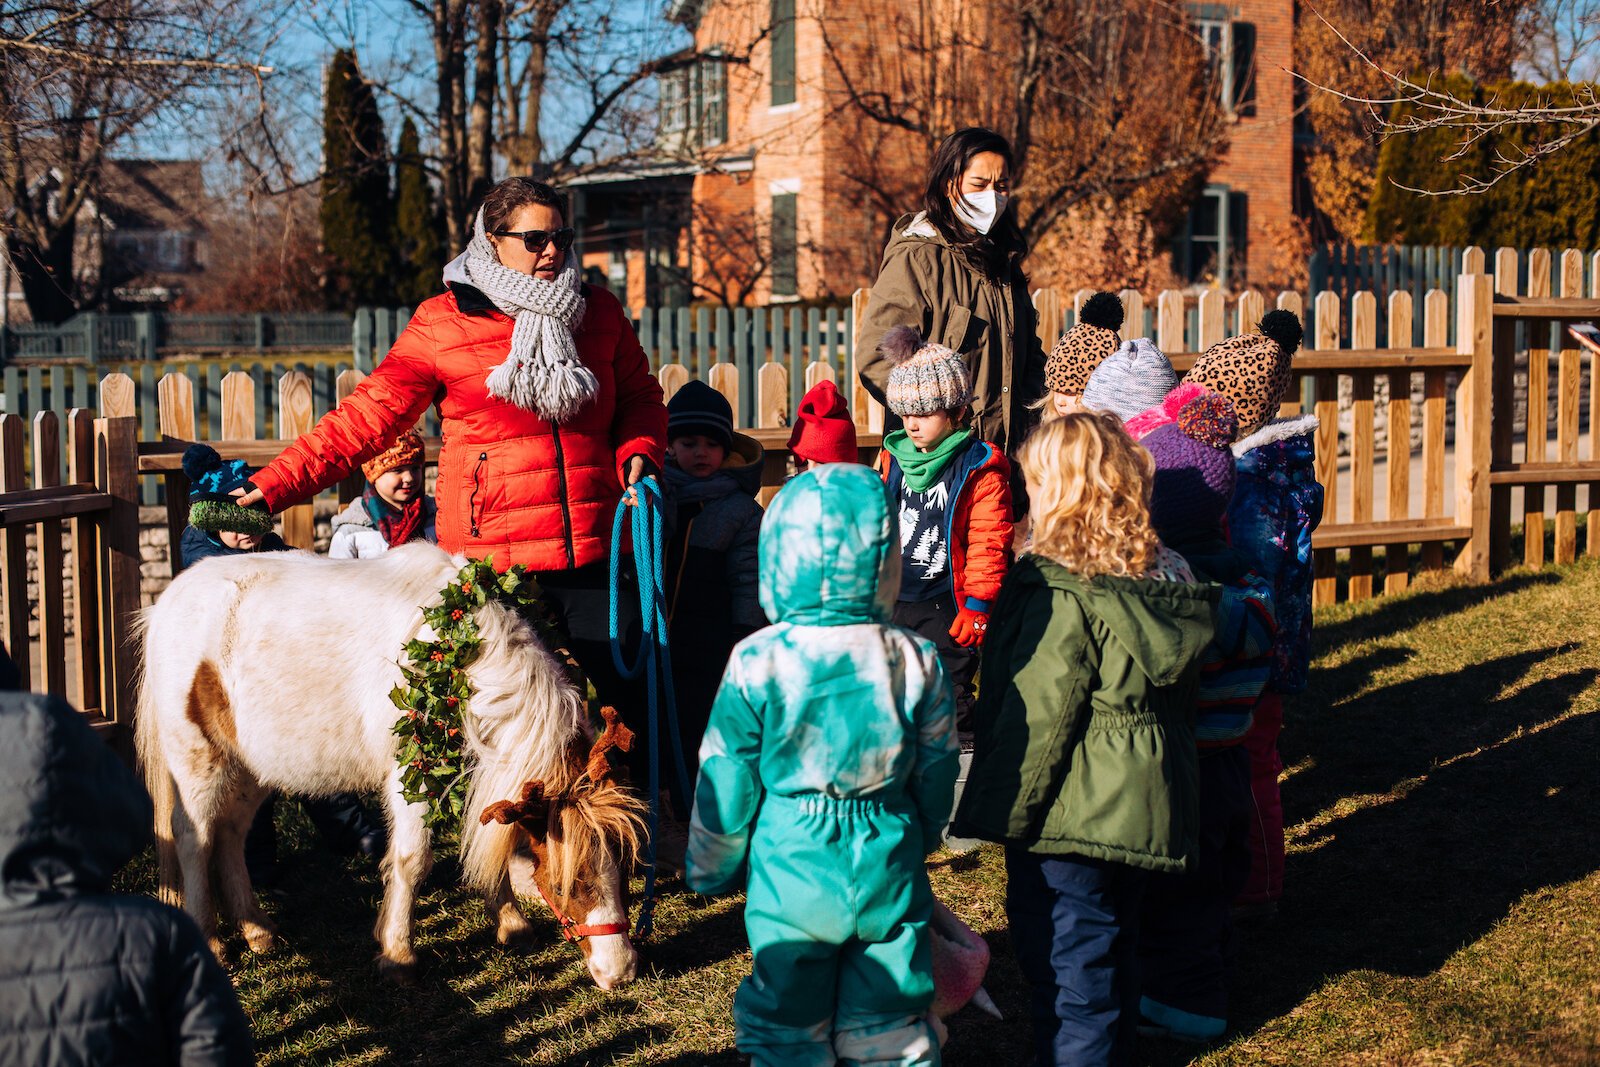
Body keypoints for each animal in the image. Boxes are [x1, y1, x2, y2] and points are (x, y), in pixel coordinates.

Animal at [132, 547, 643, 991]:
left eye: (624, 864)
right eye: (563, 882)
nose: (620, 972)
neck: (461, 655)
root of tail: (166, 604)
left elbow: (484, 839)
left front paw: (511, 923)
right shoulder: (410, 773)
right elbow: (412, 860)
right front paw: (398, 954)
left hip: (249, 770)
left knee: (231, 836)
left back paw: (257, 930)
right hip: (198, 763)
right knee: (194, 838)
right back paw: (212, 942)